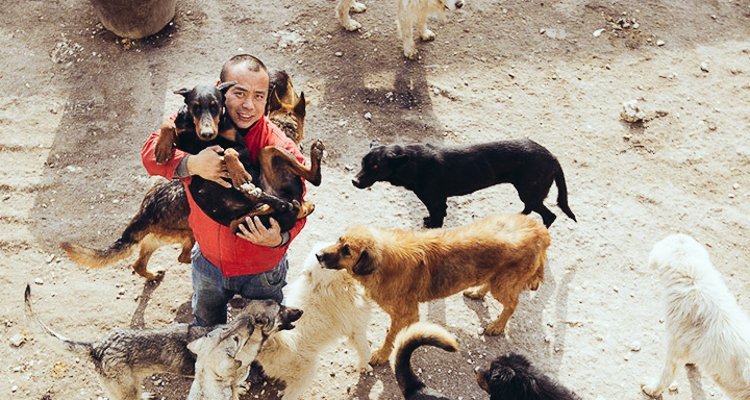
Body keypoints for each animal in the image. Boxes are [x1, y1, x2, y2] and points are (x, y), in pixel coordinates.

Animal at [256, 242, 374, 398]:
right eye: (320, 261)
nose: (319, 255)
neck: (329, 286)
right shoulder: (357, 329)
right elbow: (365, 351)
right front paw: (366, 366)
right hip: (304, 377)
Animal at [318, 214, 552, 364]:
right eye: (339, 240)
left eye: (347, 251)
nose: (318, 255)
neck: (383, 263)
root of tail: (539, 230)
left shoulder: (406, 313)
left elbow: (390, 336)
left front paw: (382, 355)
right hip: (496, 276)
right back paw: (477, 292)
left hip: (503, 284)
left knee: (512, 304)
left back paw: (497, 326)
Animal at [336, 0, 464, 59]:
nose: (460, 4)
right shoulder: (406, 7)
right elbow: (407, 32)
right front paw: (409, 50)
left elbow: (422, 19)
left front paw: (424, 33)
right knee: (341, 7)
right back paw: (348, 24)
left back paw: (355, 6)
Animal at [352, 139, 576, 228]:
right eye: (363, 162)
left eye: (375, 167)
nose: (354, 181)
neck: (413, 163)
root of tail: (552, 157)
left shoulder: (436, 202)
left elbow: (437, 221)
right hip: (528, 193)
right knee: (530, 209)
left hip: (530, 191)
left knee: (550, 215)